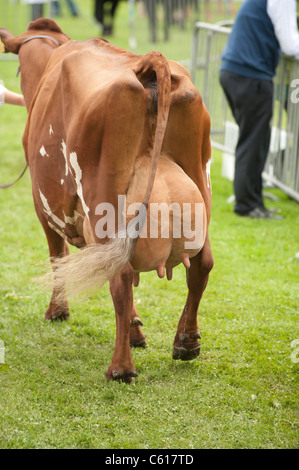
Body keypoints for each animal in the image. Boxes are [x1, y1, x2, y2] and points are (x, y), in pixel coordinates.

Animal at [1, 20, 214, 384]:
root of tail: (148, 64)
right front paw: (136, 330)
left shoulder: (43, 205)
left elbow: (57, 255)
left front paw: (58, 310)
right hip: (200, 182)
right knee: (202, 263)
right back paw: (186, 343)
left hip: (103, 202)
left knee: (122, 275)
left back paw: (121, 368)